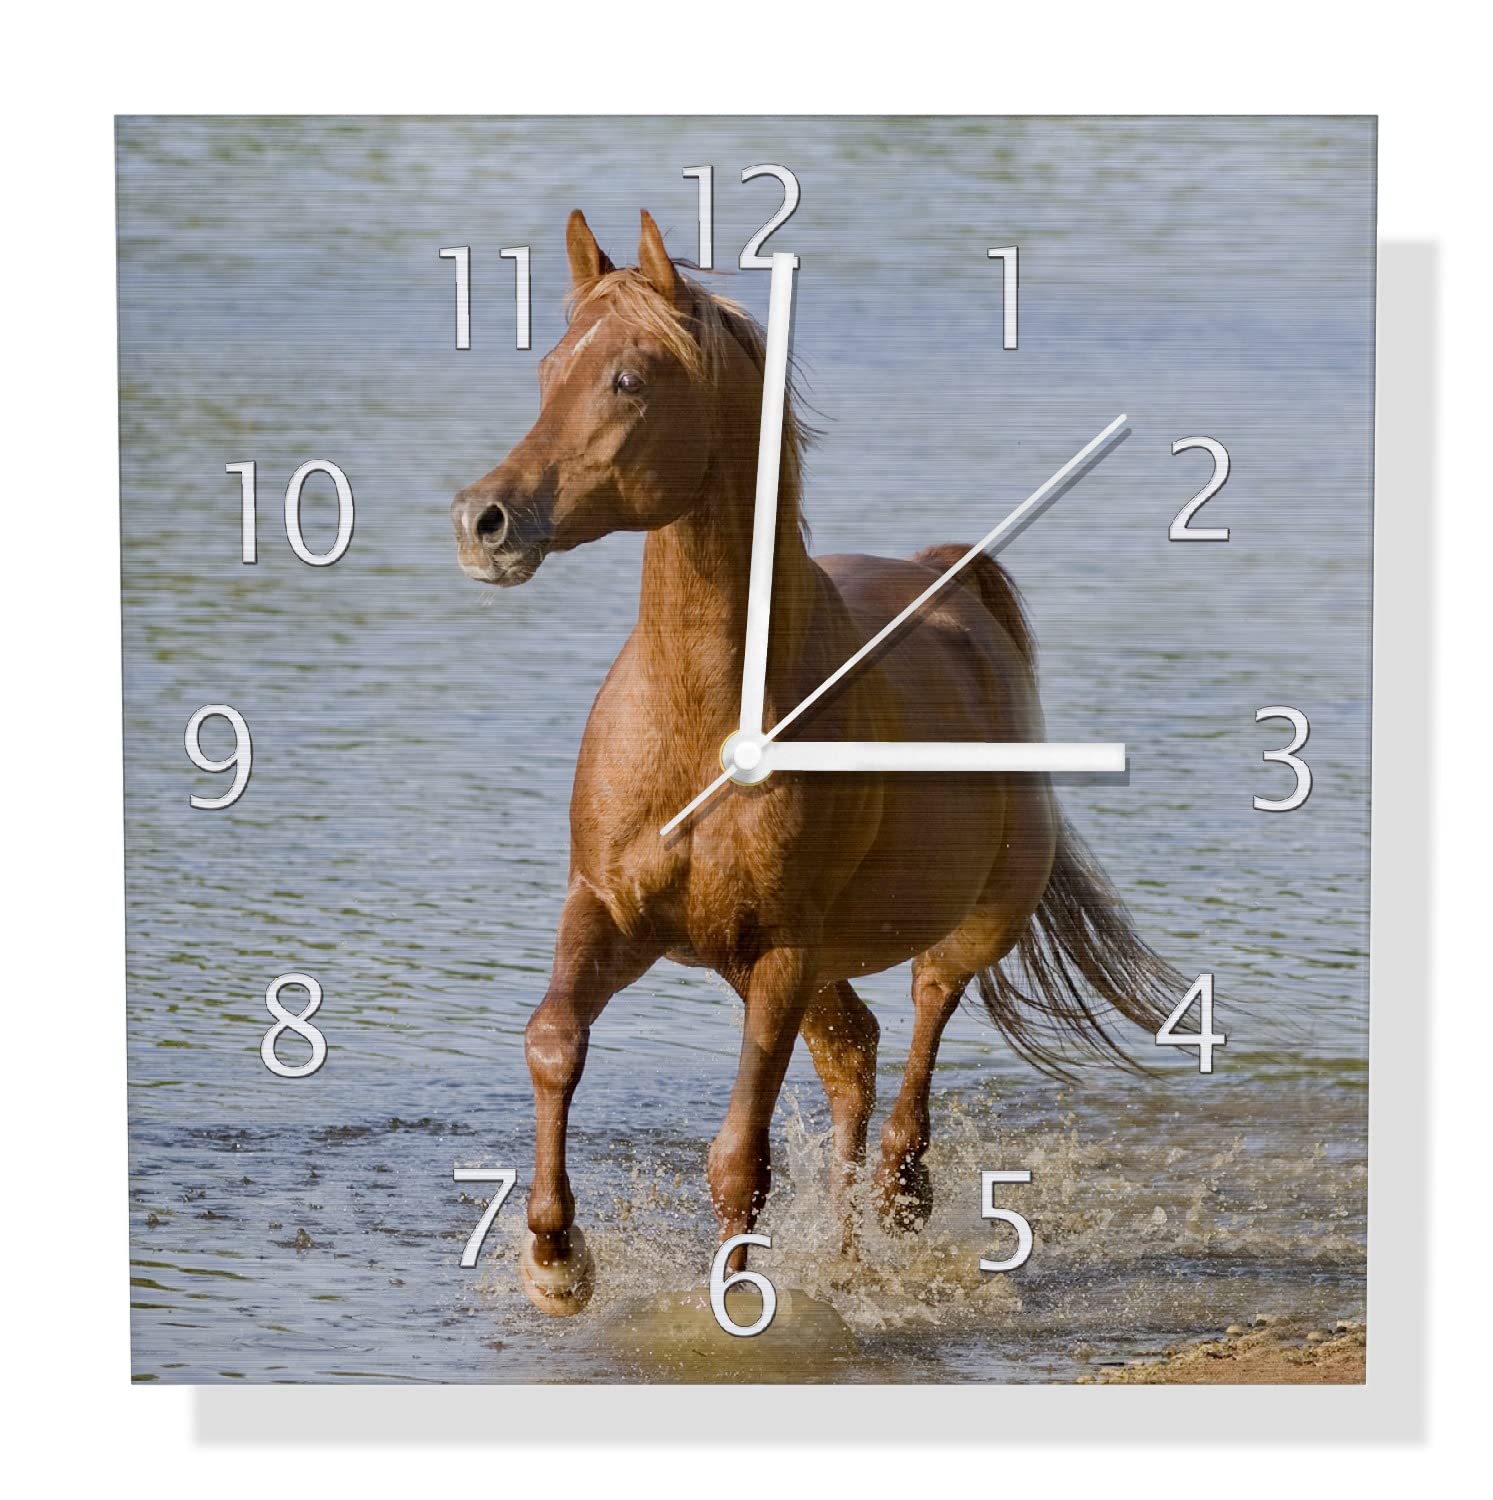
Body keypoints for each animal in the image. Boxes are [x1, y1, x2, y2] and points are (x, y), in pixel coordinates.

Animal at [450, 209, 1180, 1315]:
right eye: (546, 368)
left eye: (627, 379)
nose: (483, 521)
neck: (702, 723)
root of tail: (950, 586)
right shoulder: (610, 909)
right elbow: (553, 1042)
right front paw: (556, 1258)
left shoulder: (783, 952)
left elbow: (738, 1156)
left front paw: (729, 1301)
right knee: (854, 1064)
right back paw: (842, 1260)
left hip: (956, 930)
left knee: (915, 1042)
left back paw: (898, 1201)